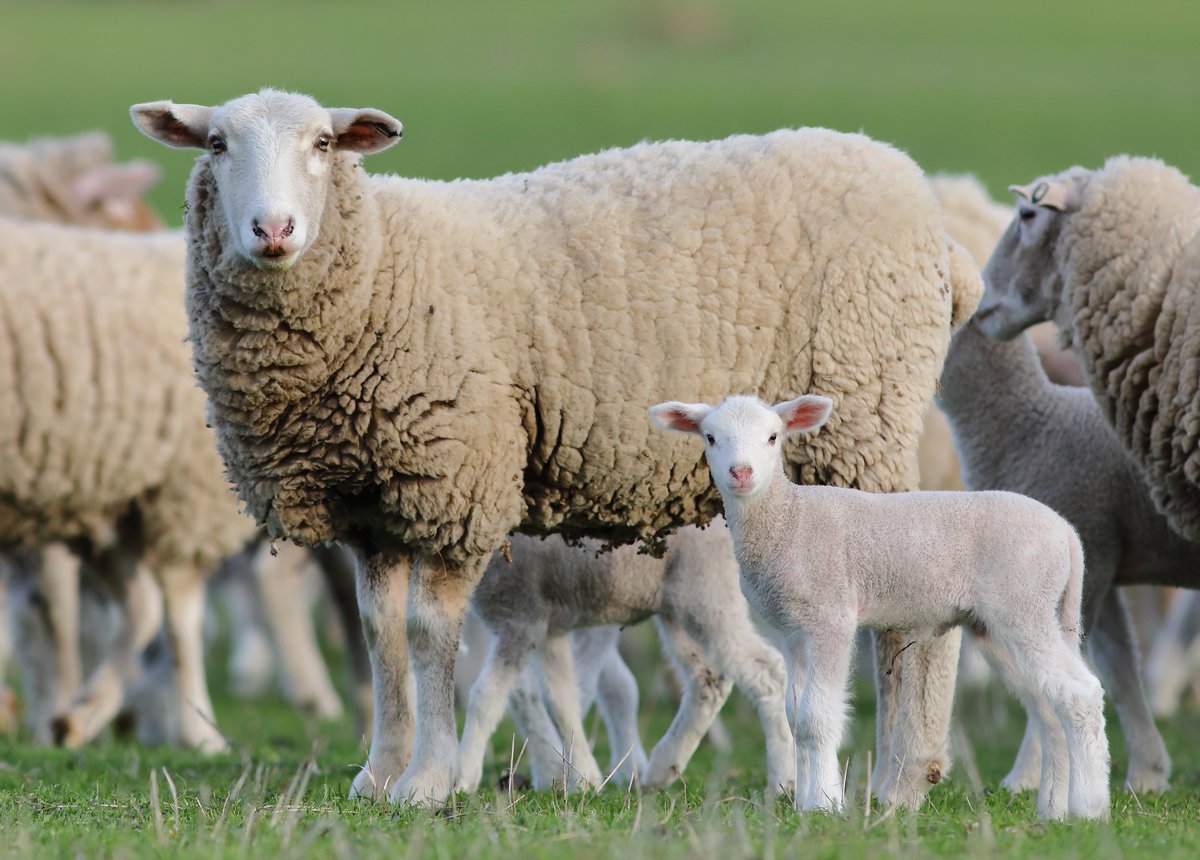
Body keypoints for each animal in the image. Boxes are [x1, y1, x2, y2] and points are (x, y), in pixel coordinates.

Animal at [456, 525, 793, 795]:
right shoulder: (548, 631)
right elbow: (560, 699)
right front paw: (581, 777)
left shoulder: (521, 620)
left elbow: (486, 697)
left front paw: (463, 777)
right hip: (677, 610)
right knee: (708, 678)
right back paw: (662, 768)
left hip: (708, 594)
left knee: (768, 672)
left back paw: (781, 781)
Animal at [650, 394, 1111, 819]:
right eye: (711, 438)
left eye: (773, 437)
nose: (741, 473)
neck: (788, 518)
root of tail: (1066, 532)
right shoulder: (792, 631)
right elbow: (795, 717)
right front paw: (803, 802)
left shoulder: (830, 616)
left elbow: (817, 716)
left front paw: (825, 805)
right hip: (1000, 623)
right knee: (1048, 706)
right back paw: (1052, 810)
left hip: (1023, 605)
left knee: (1080, 693)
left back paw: (1089, 808)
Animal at [937, 314, 1199, 791]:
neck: (1029, 424)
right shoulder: (1099, 561)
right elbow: (1117, 669)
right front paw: (1147, 772)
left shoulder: (1085, 546)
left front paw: (1026, 776)